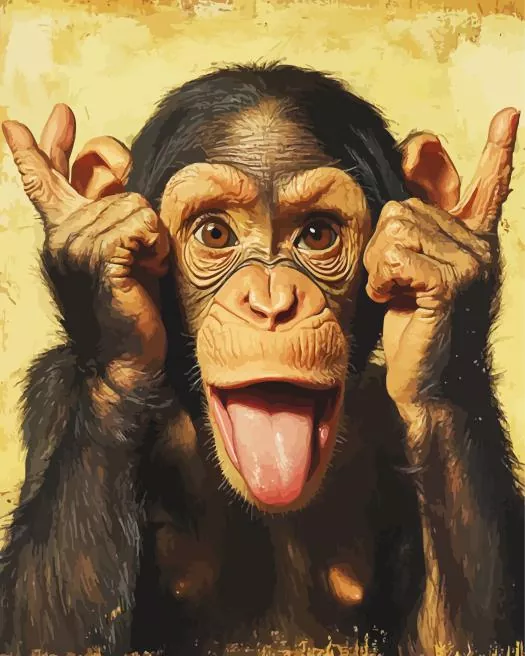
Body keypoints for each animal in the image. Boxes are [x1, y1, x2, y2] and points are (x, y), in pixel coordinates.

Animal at [0, 63, 523, 656]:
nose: (272, 302)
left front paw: (443, 273)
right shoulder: (55, 389)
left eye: (317, 233)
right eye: (214, 232)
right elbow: (42, 634)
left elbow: (458, 638)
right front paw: (103, 281)